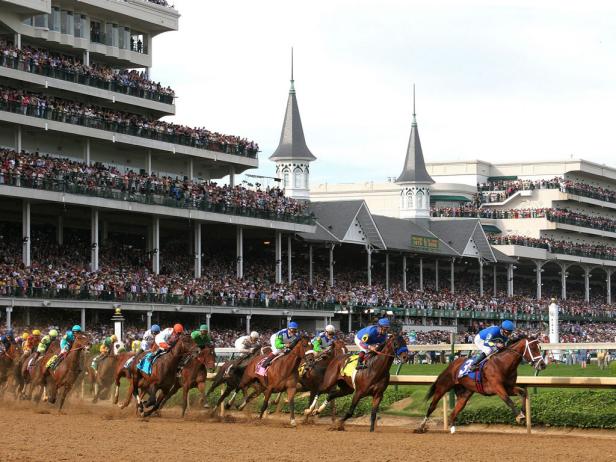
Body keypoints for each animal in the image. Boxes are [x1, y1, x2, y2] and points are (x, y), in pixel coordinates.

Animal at [416, 336, 548, 434]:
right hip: (443, 387)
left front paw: (523, 413)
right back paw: (421, 426)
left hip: (465, 394)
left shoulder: (508, 387)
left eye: (540, 347)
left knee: (455, 411)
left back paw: (453, 429)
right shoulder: (497, 387)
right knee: (432, 406)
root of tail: (452, 364)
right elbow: (508, 400)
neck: (503, 363)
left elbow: (523, 392)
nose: (542, 365)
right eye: (532, 348)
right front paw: (519, 417)